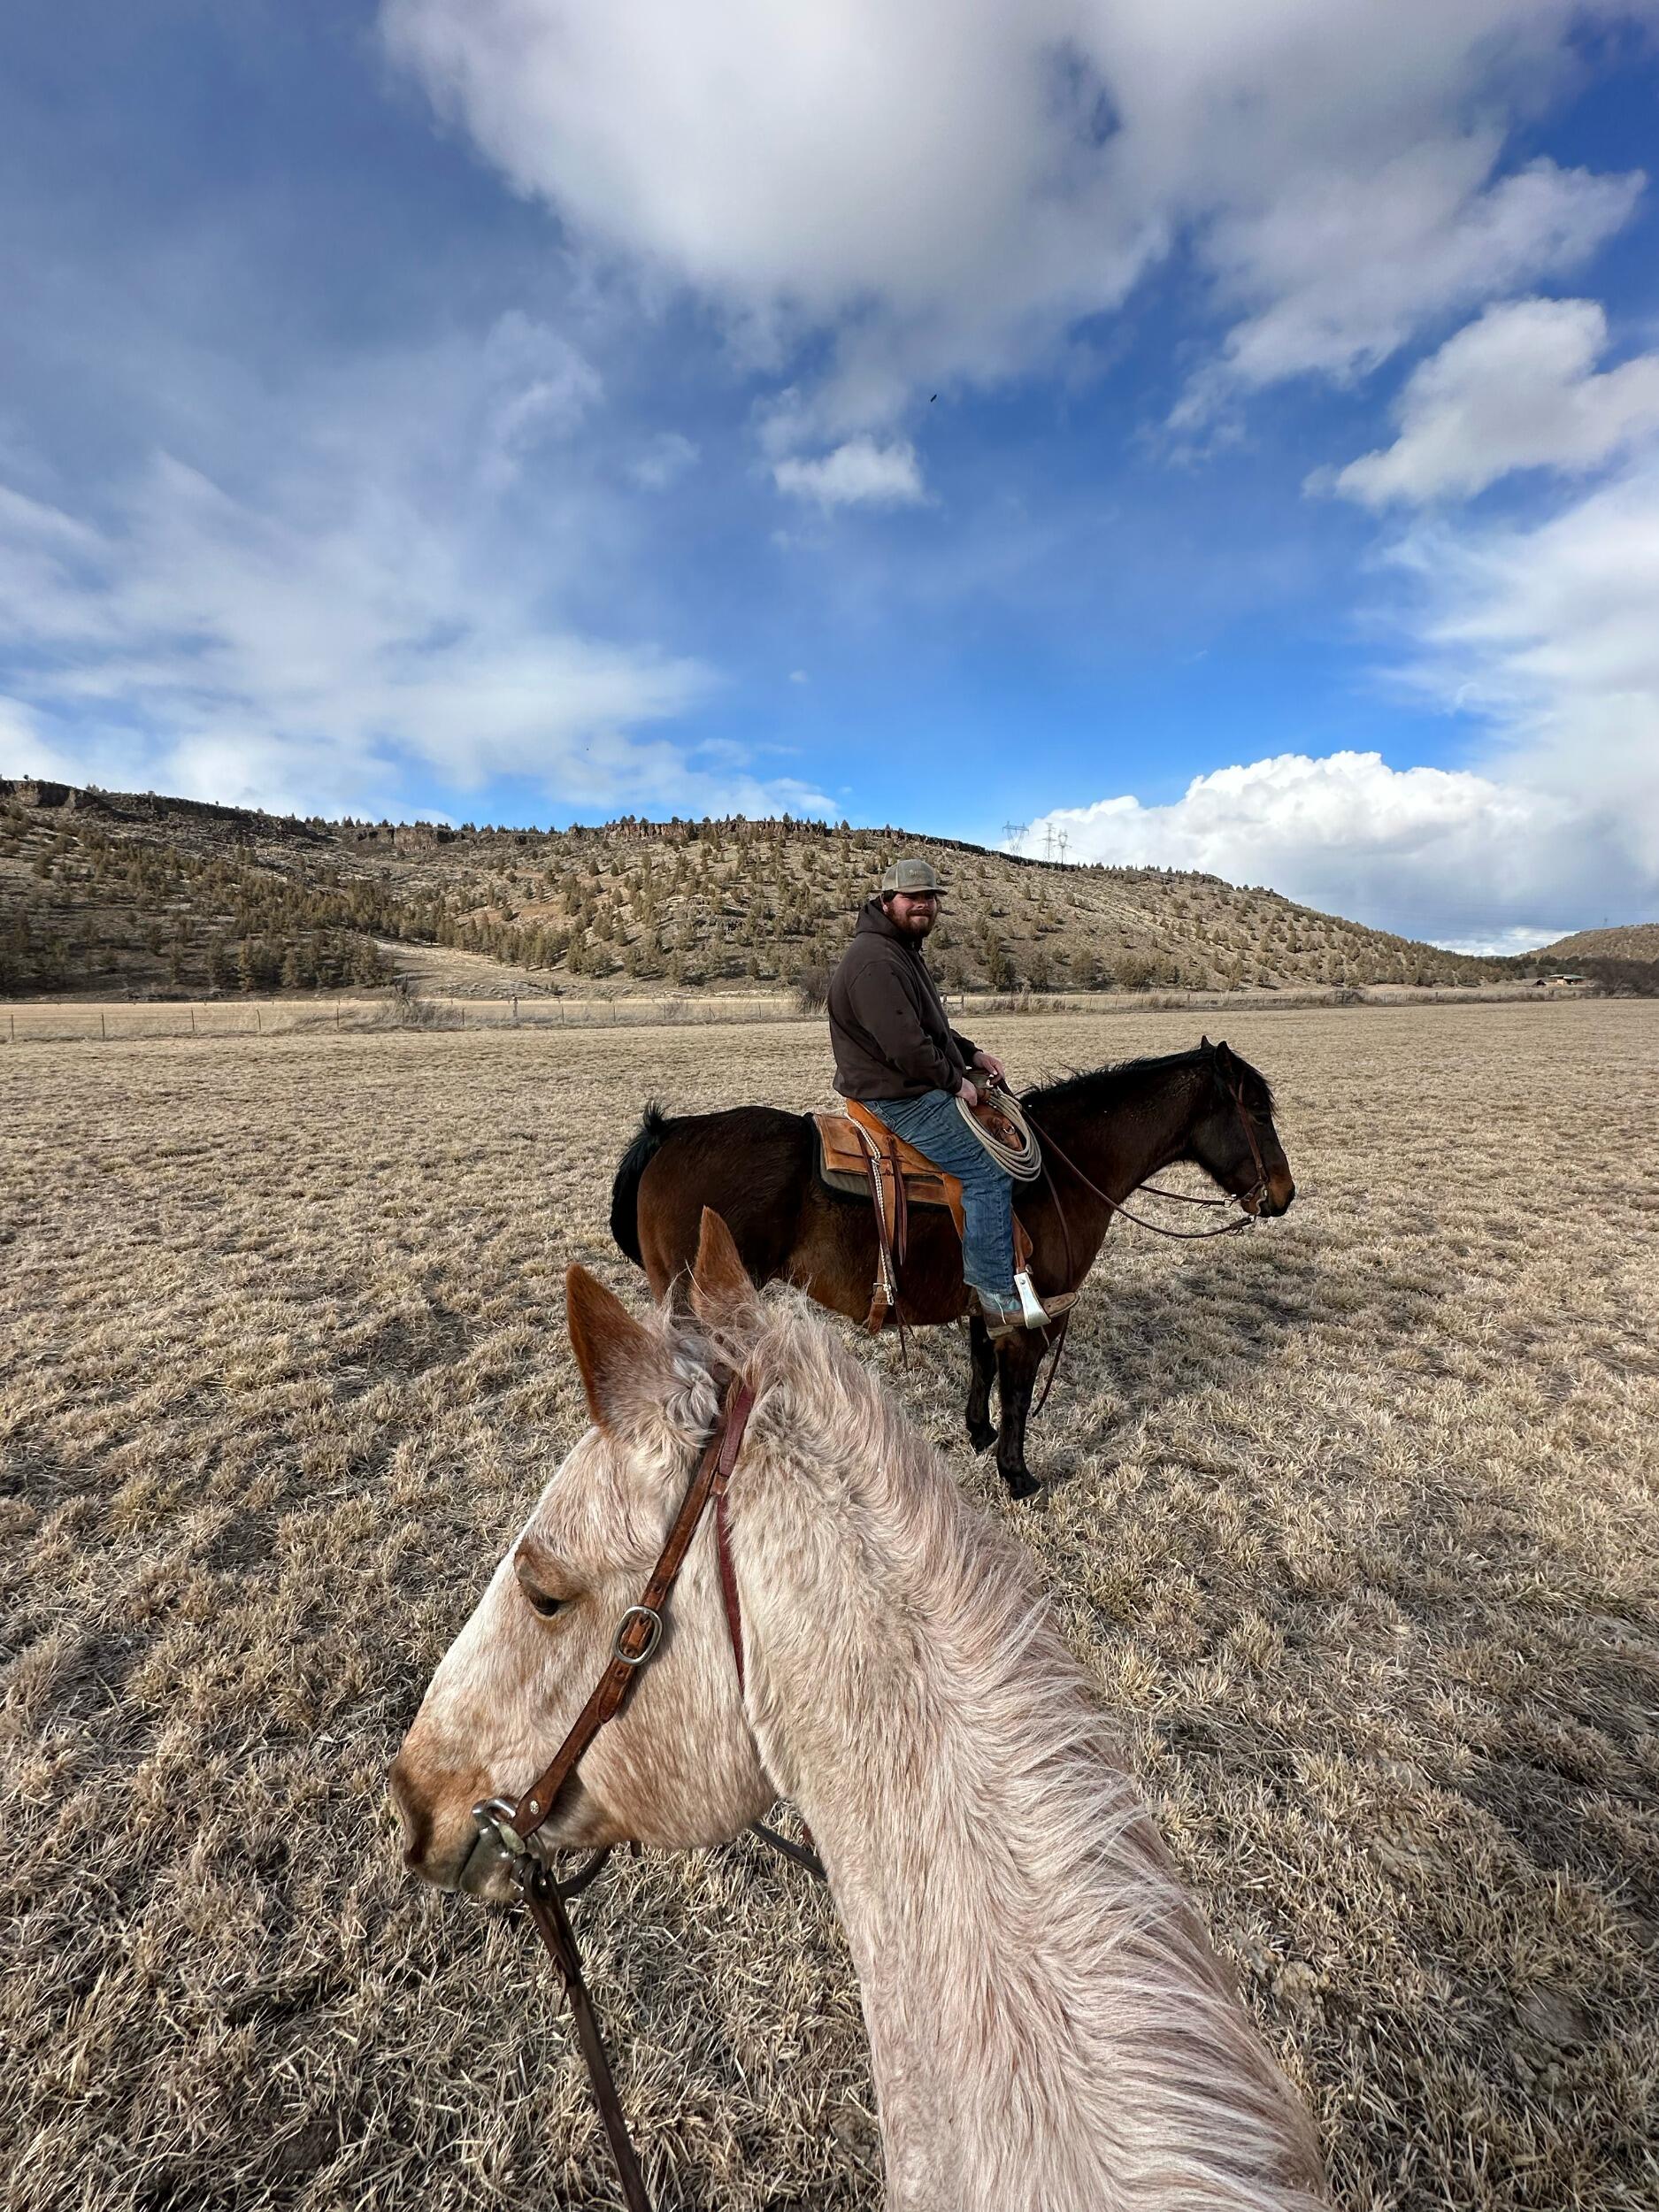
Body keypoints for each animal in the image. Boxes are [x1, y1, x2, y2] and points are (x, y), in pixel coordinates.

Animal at [608, 1039, 1295, 1501]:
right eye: (1259, 1112)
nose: (1284, 1195)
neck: (1064, 1168)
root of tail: (668, 1134)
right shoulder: (1030, 1312)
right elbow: (1017, 1390)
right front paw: (1017, 1476)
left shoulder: (984, 1303)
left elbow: (982, 1366)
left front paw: (978, 1433)